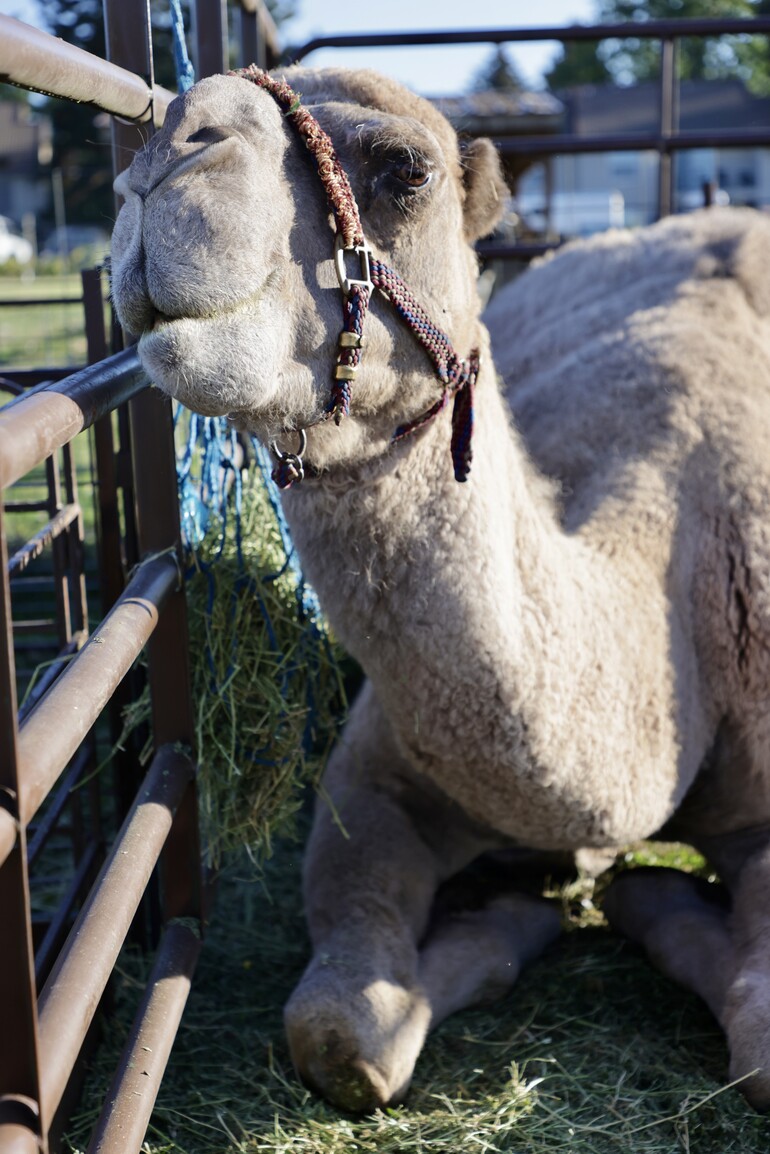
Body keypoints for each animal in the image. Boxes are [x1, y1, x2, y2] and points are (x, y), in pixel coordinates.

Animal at [109, 65, 770, 1117]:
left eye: (406, 168)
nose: (169, 150)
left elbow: (762, 1044)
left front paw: (623, 891)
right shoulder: (369, 781)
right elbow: (341, 1034)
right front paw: (521, 910)